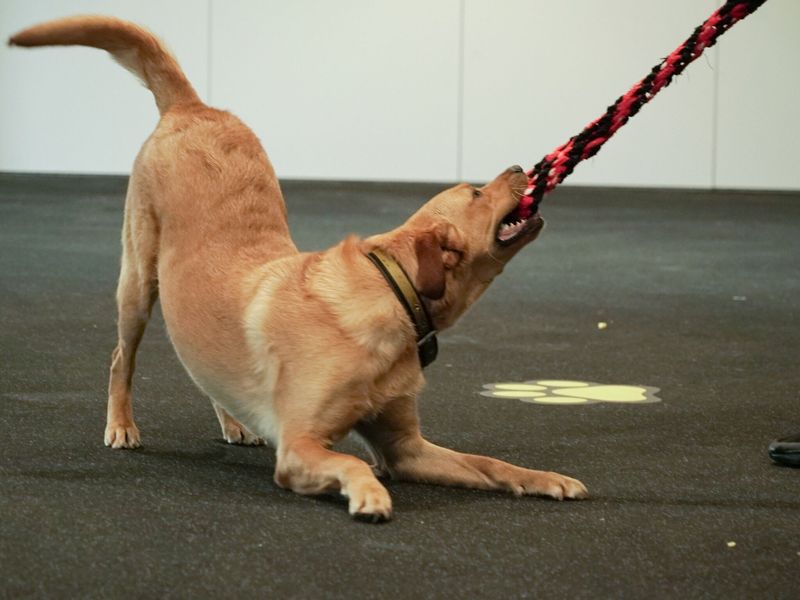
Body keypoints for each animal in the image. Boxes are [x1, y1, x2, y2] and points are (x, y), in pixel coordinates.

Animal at [9, 14, 584, 520]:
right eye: (476, 193)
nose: (521, 166)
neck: (392, 295)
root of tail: (192, 106)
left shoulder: (407, 448)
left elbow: (488, 464)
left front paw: (544, 479)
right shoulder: (300, 445)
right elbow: (354, 462)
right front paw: (369, 495)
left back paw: (233, 420)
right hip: (136, 282)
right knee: (119, 359)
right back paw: (122, 425)